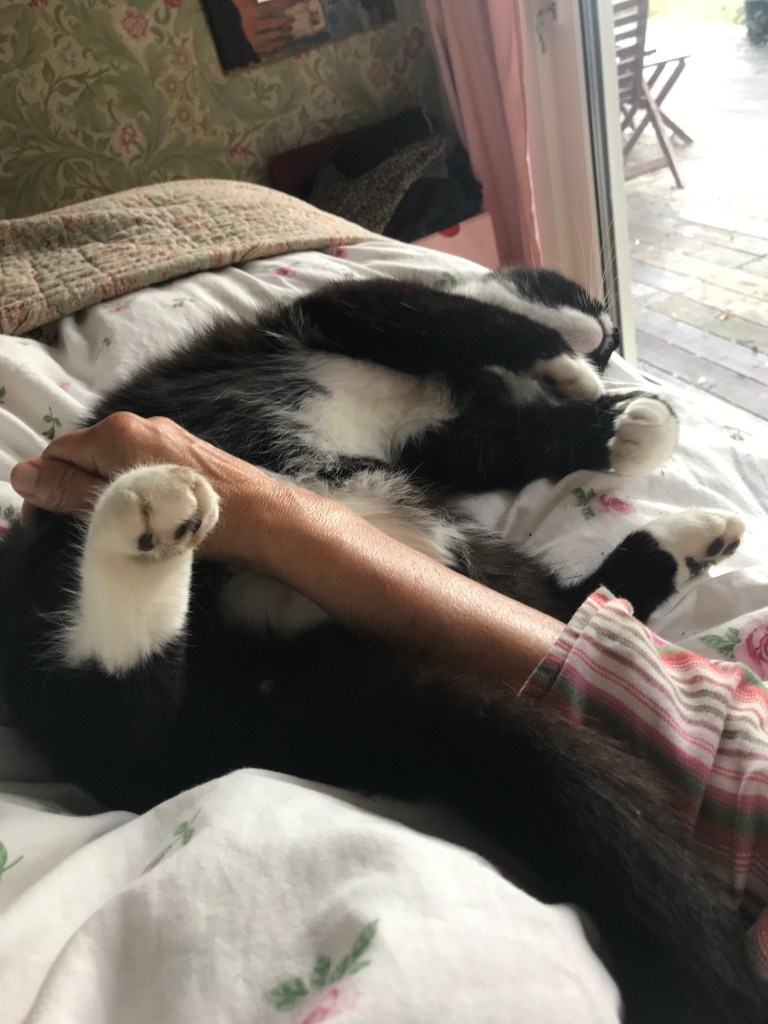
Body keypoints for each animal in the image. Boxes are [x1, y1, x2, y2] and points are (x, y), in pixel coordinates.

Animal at [0, 268, 760, 1024]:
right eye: (577, 297)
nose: (606, 342)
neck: (462, 387)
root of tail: (255, 711)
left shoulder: (452, 441)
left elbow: (526, 439)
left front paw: (632, 424)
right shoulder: (342, 310)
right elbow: (461, 317)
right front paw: (576, 370)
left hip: (447, 549)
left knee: (562, 615)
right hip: (49, 565)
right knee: (107, 725)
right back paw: (147, 519)